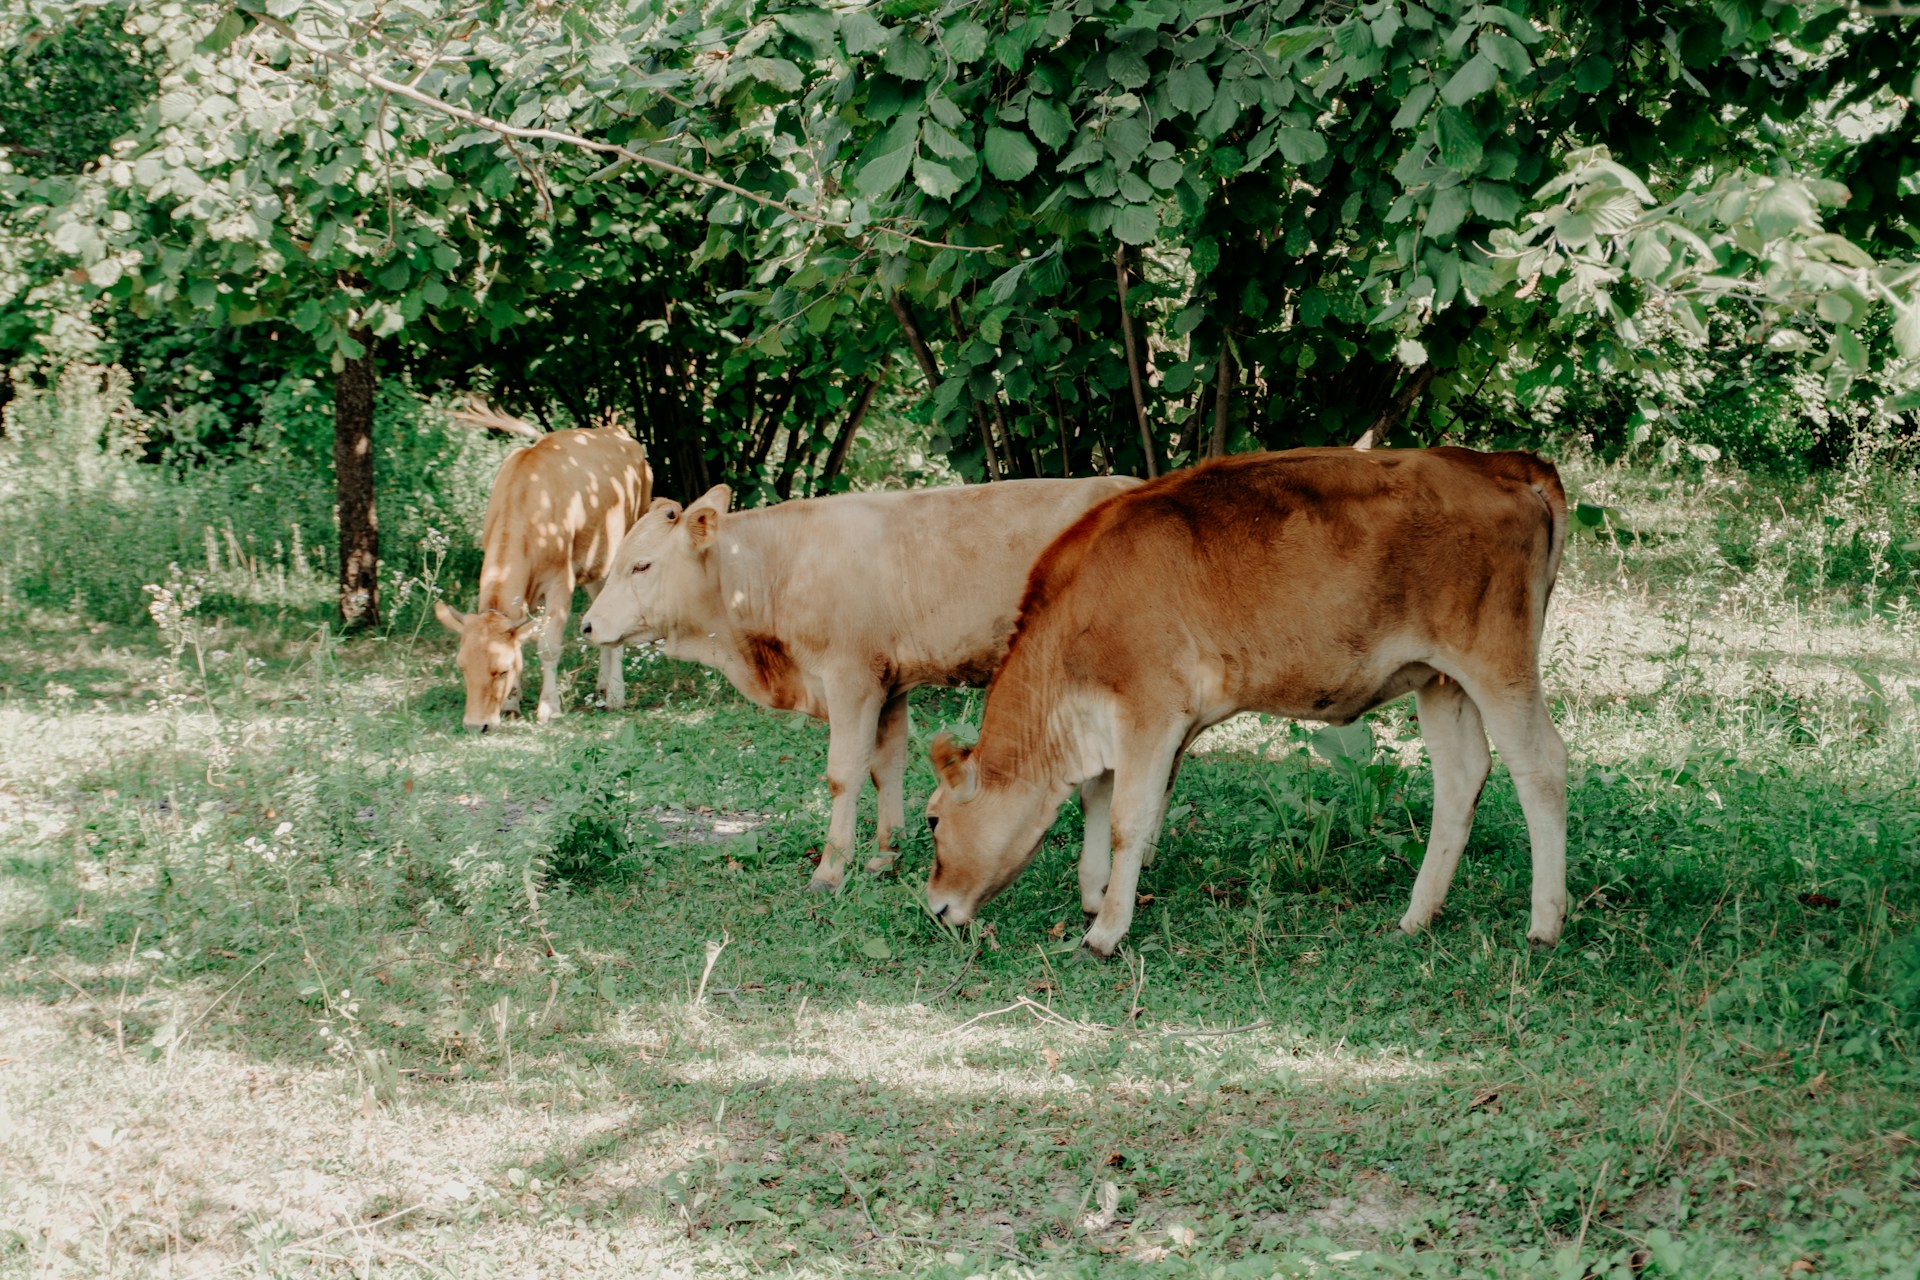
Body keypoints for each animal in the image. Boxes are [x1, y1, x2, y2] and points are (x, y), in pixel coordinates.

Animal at [435, 425, 652, 732]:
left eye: (501, 670)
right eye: (462, 666)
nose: (476, 725)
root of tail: (616, 430)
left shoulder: (560, 581)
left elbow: (547, 645)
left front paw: (549, 707)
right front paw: (511, 703)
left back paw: (616, 694)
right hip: (596, 567)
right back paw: (602, 686)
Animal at [579, 476, 1139, 890]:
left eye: (642, 564)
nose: (586, 626)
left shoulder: (851, 678)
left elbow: (843, 772)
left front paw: (830, 871)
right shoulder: (890, 685)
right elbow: (884, 767)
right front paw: (885, 854)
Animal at [923, 447, 1570, 957]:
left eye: (932, 820)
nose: (934, 907)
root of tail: (1498, 462)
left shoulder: (1151, 711)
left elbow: (1128, 819)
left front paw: (1104, 933)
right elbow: (1097, 804)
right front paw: (1093, 895)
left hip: (1498, 663)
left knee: (1541, 767)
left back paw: (1544, 925)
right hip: (1440, 679)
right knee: (1462, 776)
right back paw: (1415, 919)